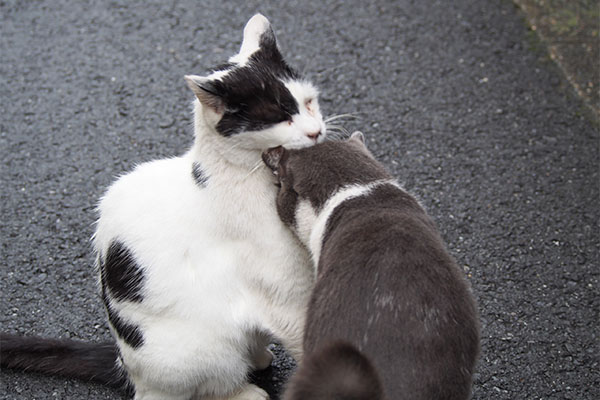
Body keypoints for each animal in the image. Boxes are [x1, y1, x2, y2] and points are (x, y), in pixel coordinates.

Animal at [1, 14, 324, 398]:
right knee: (204, 385)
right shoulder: (286, 299)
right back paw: (245, 391)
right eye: (280, 117)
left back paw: (259, 358)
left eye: (309, 102)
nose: (316, 132)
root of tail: (127, 367)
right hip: (199, 351)